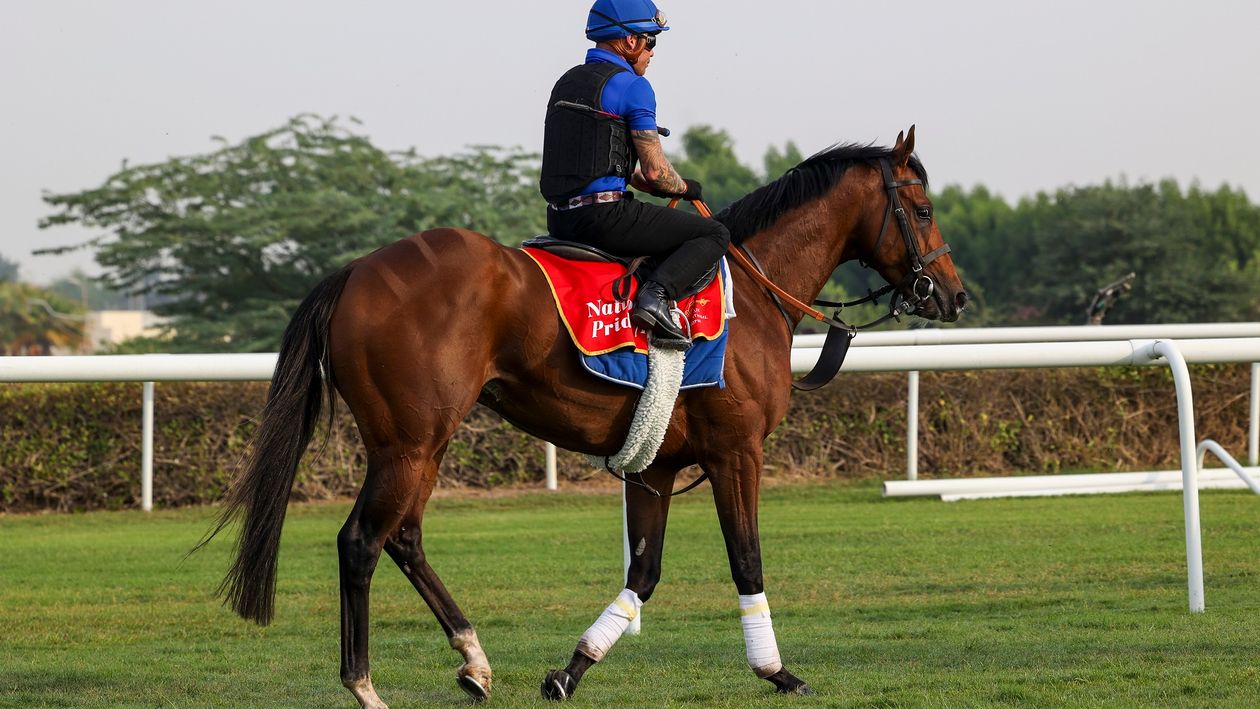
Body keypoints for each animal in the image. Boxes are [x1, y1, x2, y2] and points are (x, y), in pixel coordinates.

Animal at [205, 126, 967, 707]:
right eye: (925, 208)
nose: (953, 295)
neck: (754, 291)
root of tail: (355, 271)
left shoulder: (657, 464)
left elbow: (644, 571)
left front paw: (571, 670)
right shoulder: (737, 451)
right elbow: (746, 559)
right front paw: (776, 670)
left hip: (420, 443)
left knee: (405, 538)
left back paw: (474, 659)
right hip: (410, 441)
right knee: (362, 540)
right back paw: (365, 685)